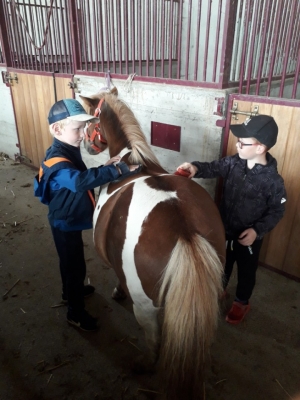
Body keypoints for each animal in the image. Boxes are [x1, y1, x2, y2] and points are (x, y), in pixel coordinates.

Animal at [79, 89, 225, 398]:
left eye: (89, 120)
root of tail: (183, 229)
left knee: (153, 339)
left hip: (145, 306)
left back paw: (143, 364)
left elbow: (119, 278)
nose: (86, 145)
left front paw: (117, 292)